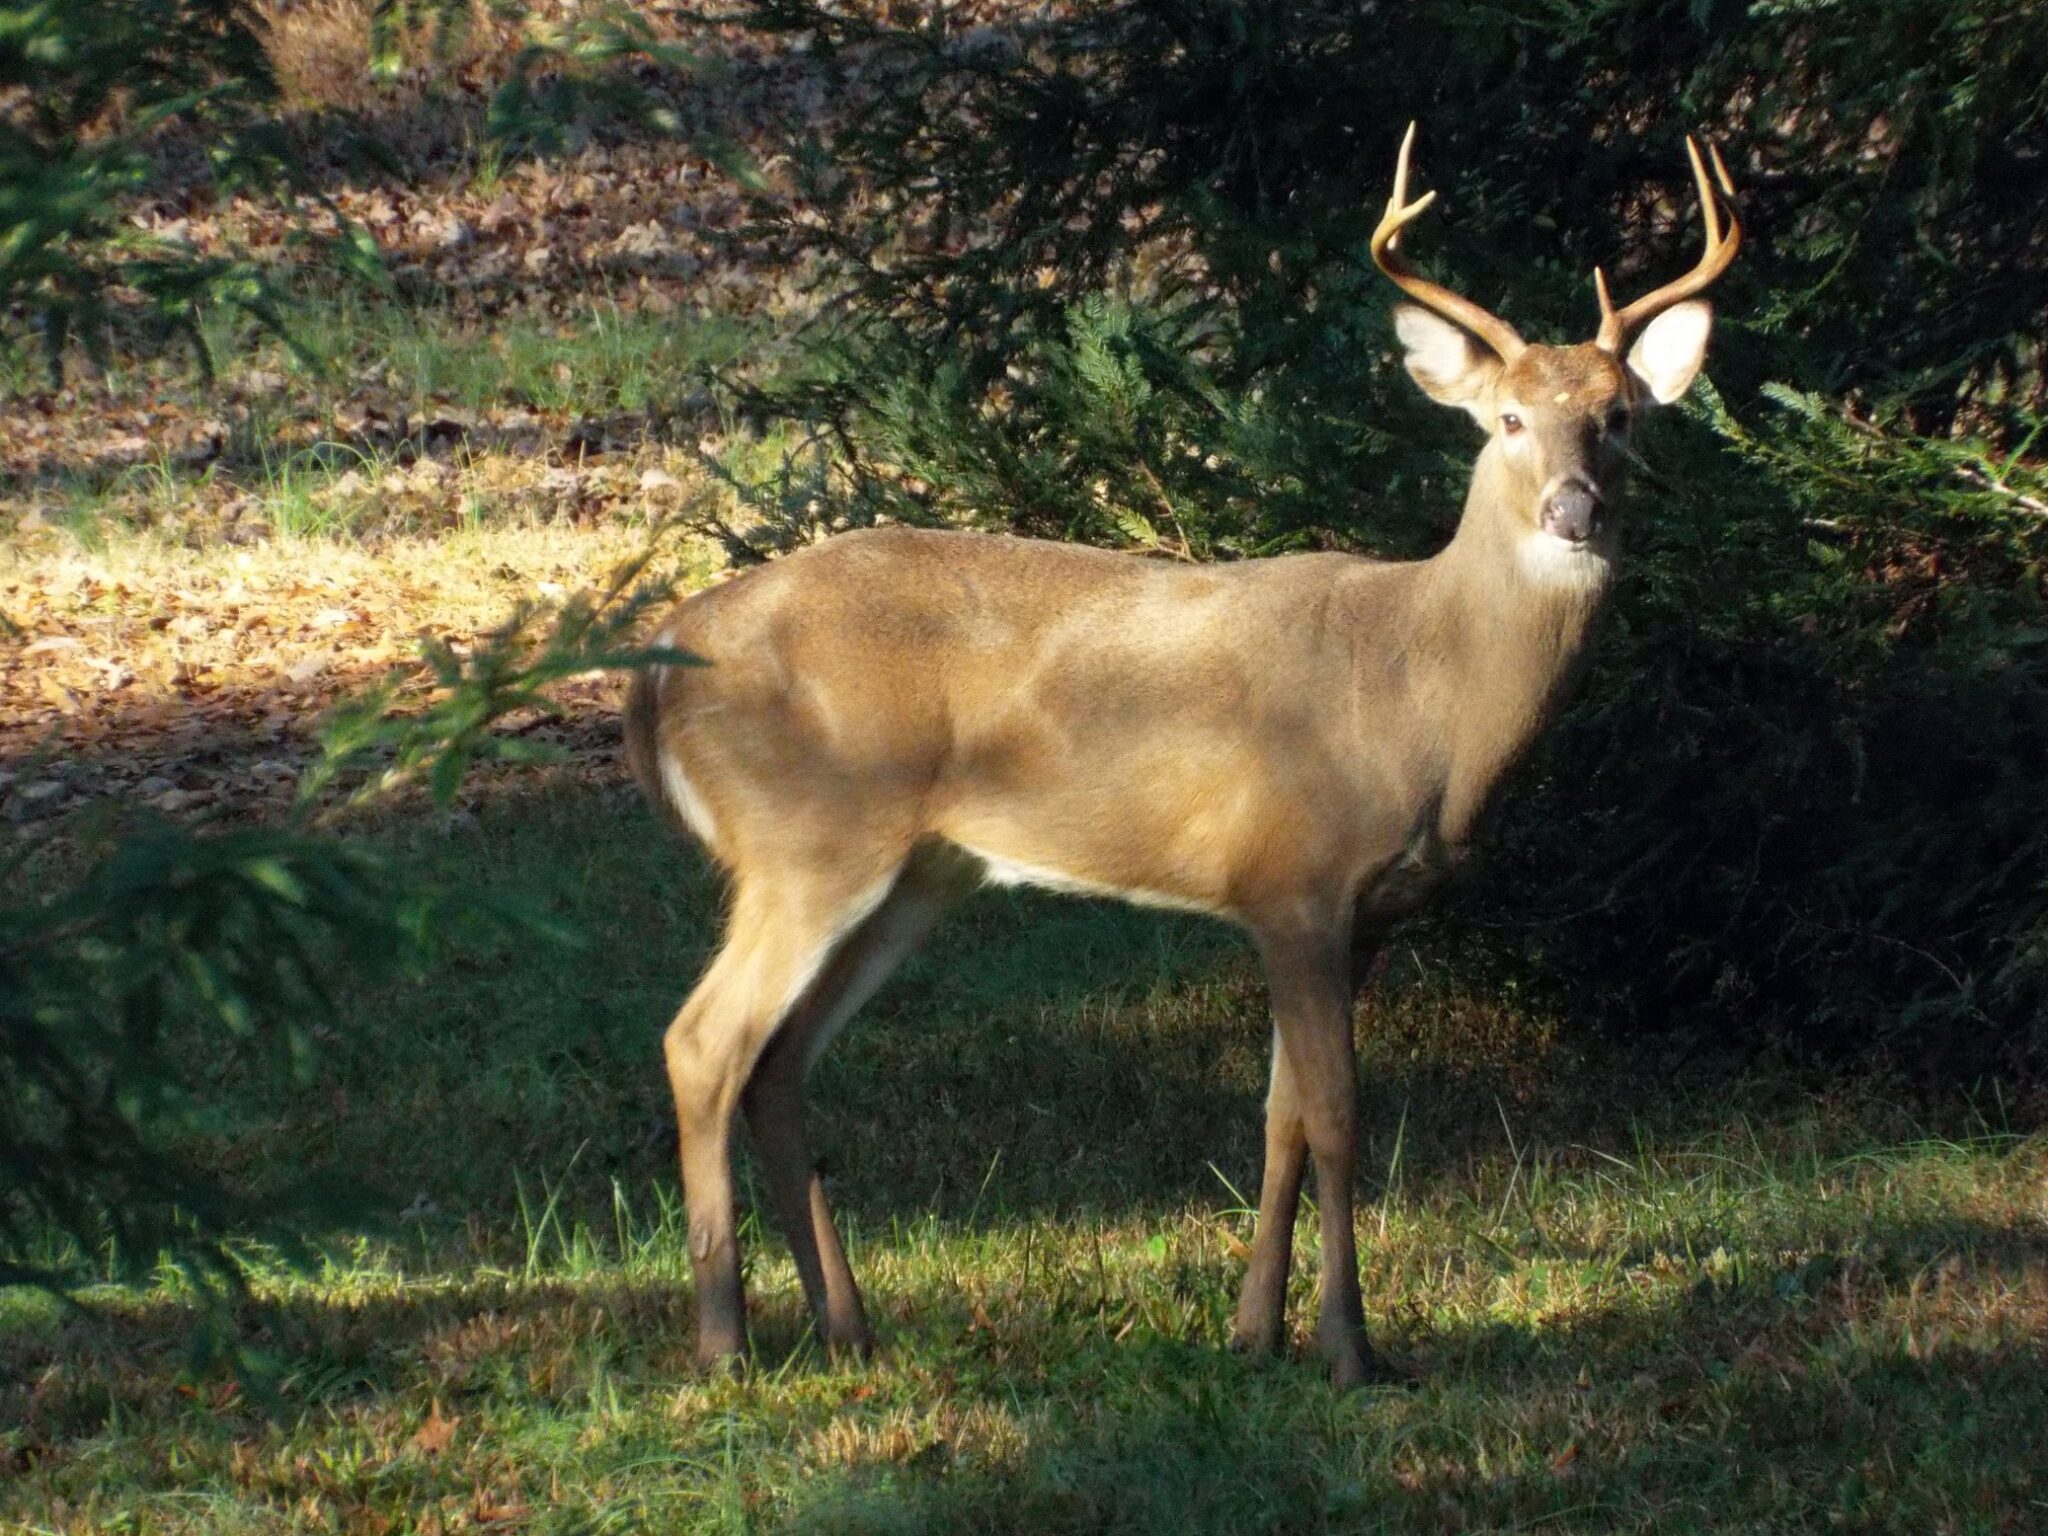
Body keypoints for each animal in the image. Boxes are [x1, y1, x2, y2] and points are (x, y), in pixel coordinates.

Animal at [626, 126, 1744, 1392]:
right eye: (1505, 420)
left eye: (1620, 417)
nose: (1572, 510)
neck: (1421, 696)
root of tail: (658, 669)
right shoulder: (1293, 878)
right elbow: (1340, 1115)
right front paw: (1349, 1349)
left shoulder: (1362, 912)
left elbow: (1282, 1116)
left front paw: (1255, 1333)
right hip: (805, 839)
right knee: (703, 1041)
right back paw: (724, 1344)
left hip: (911, 872)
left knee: (777, 1061)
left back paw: (848, 1328)